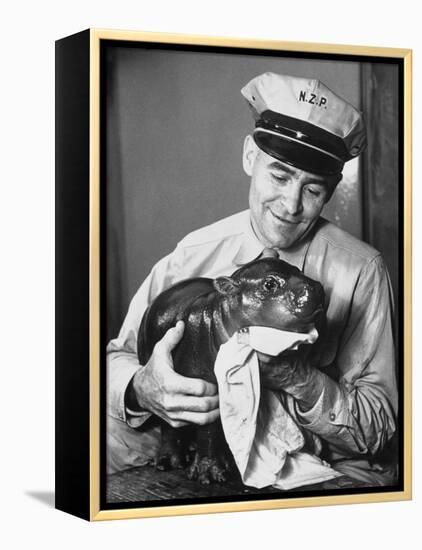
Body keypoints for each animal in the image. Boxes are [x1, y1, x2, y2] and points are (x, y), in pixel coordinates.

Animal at [137, 256, 324, 486]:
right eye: (269, 284)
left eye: (298, 269)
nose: (316, 287)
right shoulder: (205, 387)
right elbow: (208, 428)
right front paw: (209, 475)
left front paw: (221, 467)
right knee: (169, 423)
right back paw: (169, 462)